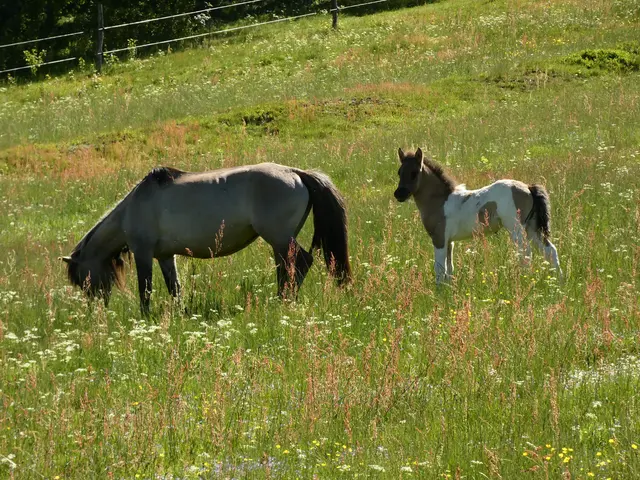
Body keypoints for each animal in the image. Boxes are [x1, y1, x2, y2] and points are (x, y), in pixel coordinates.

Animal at [61, 162, 351, 315]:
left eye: (82, 278)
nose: (97, 309)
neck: (134, 207)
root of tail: (295, 172)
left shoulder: (143, 253)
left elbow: (145, 289)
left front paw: (145, 317)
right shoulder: (165, 256)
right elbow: (174, 288)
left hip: (279, 238)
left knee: (299, 263)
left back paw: (283, 300)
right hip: (280, 241)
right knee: (288, 266)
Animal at [394, 148, 561, 284]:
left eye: (414, 173)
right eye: (399, 172)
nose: (399, 194)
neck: (440, 201)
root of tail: (528, 187)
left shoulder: (439, 239)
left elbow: (439, 268)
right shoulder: (449, 241)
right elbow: (449, 268)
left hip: (516, 228)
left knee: (526, 254)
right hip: (532, 228)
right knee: (550, 251)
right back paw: (560, 282)